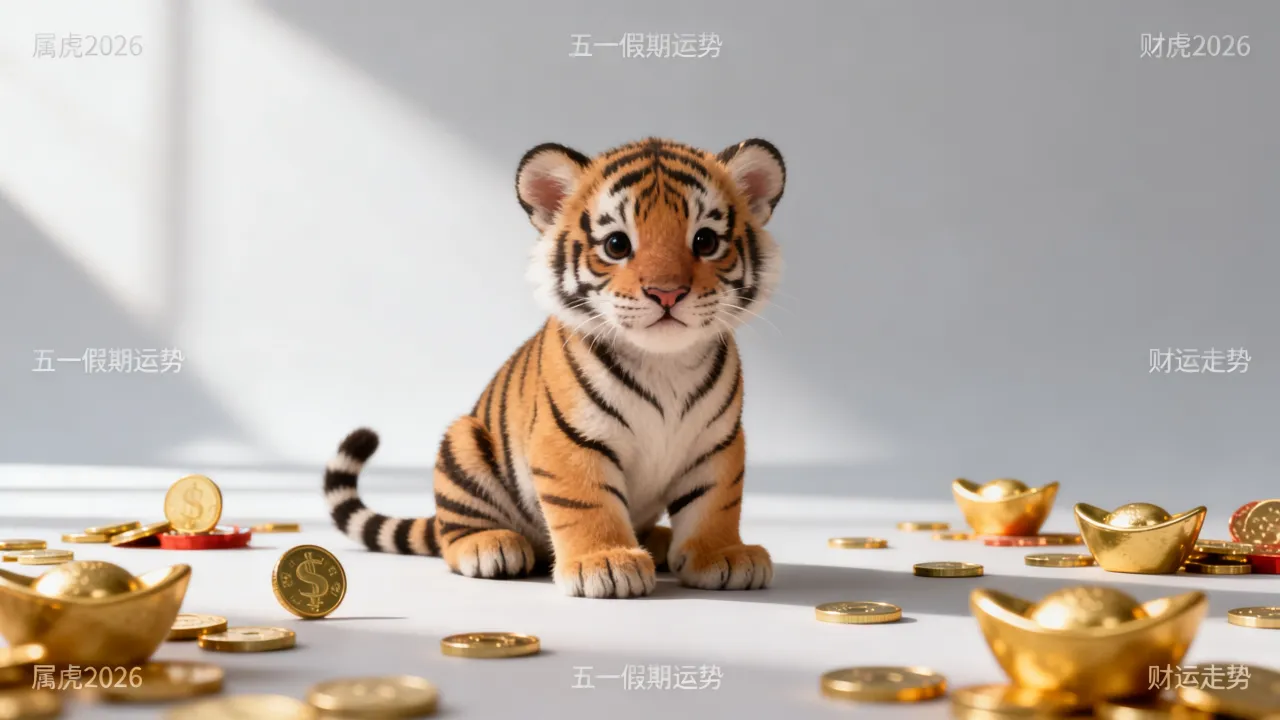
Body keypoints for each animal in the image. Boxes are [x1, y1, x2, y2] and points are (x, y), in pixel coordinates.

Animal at [323, 137, 786, 598]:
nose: (666, 293)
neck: (662, 363)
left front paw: (723, 555)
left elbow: (715, 502)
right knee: (453, 535)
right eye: (617, 245)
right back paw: (491, 546)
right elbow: (586, 501)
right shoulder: (570, 437)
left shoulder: (717, 442)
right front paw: (605, 562)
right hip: (462, 445)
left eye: (705, 241)